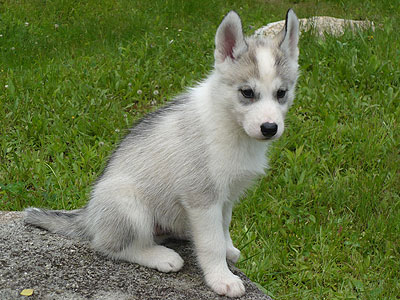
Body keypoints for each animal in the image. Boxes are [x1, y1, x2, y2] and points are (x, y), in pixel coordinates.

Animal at [25, 9, 298, 298]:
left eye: (281, 93)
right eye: (247, 92)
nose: (270, 128)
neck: (230, 123)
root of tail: (89, 216)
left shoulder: (226, 197)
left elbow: (223, 228)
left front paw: (228, 251)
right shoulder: (202, 198)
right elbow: (211, 243)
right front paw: (221, 278)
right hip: (129, 205)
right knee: (110, 246)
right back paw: (161, 257)